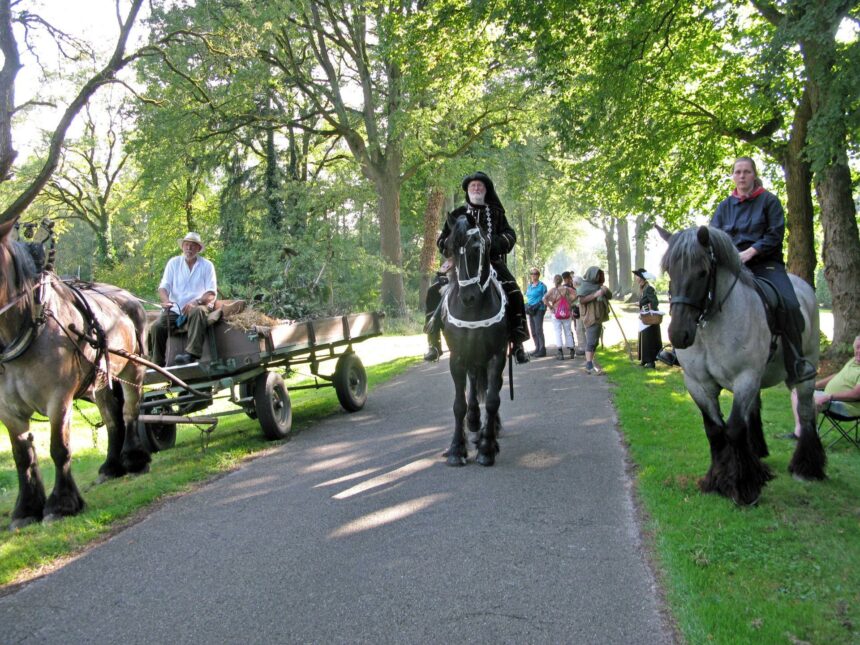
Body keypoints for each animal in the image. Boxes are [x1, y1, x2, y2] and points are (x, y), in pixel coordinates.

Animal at [0, 221, 149, 528]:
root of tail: (128, 297)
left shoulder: (59, 398)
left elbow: (59, 448)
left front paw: (62, 504)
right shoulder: (7, 409)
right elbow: (22, 456)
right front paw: (26, 510)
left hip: (134, 368)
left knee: (130, 411)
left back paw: (134, 459)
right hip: (102, 380)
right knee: (112, 418)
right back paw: (111, 467)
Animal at [440, 213, 508, 468]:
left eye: (477, 248)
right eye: (450, 248)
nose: (468, 297)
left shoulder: (498, 354)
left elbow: (492, 400)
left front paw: (487, 448)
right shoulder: (458, 357)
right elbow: (458, 405)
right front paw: (456, 449)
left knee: (490, 389)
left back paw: (490, 430)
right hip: (474, 358)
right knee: (473, 385)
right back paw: (474, 422)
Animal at [660, 224, 828, 506]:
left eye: (702, 272)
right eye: (670, 270)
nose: (678, 334)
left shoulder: (745, 378)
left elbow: (734, 429)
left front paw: (743, 486)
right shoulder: (699, 385)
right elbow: (715, 430)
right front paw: (716, 480)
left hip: (805, 373)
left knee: (805, 412)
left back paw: (807, 467)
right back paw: (757, 454)